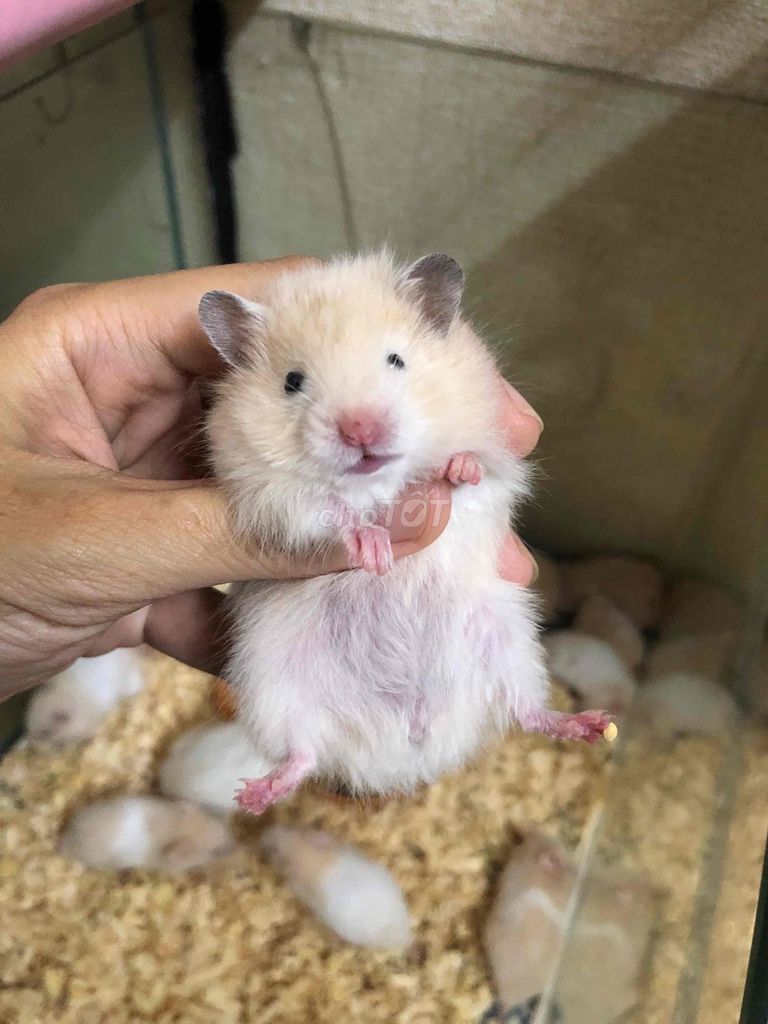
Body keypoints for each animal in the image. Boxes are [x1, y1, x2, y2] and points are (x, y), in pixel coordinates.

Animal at [200, 252, 612, 814]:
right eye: (292, 381)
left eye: (396, 359)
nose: (360, 430)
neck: (379, 481)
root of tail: (405, 750)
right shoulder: (268, 495)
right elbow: (325, 508)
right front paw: (376, 551)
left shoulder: (501, 464)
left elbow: (478, 473)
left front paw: (457, 469)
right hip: (272, 682)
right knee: (302, 752)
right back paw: (257, 796)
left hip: (508, 639)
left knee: (527, 711)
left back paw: (593, 726)